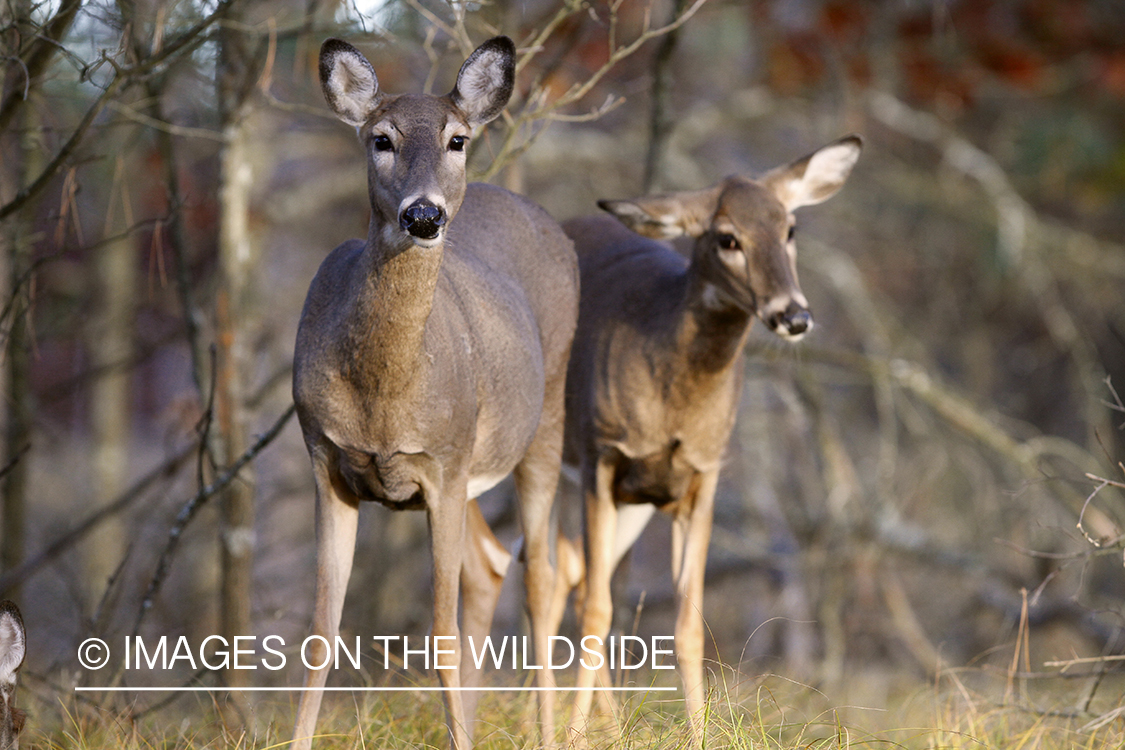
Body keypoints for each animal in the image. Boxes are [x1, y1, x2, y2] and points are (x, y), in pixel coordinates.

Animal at [290, 36, 580, 750]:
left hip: (541, 423)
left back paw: (549, 732)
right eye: (381, 139)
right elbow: (321, 633)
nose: (424, 214)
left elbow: (441, 635)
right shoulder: (325, 458)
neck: (385, 398)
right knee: (491, 565)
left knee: (541, 577)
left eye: (457, 139)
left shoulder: (443, 464)